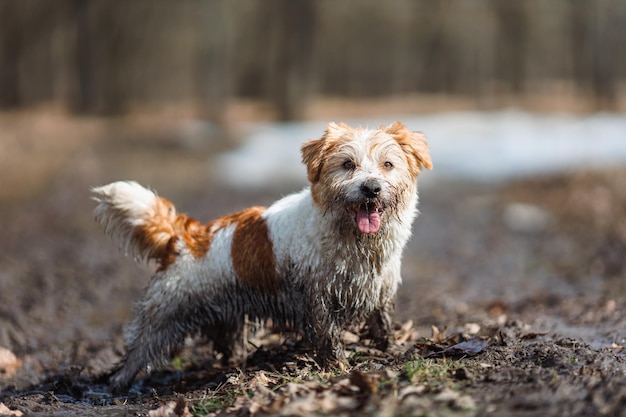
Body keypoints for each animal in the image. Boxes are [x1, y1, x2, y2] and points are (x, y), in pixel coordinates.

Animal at [91, 120, 428, 386]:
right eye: (347, 164)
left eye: (387, 164)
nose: (371, 188)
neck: (355, 241)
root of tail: (185, 237)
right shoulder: (317, 298)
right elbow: (328, 335)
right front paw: (337, 366)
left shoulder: (381, 288)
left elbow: (383, 322)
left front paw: (391, 349)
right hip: (163, 313)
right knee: (139, 347)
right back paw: (118, 381)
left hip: (225, 314)